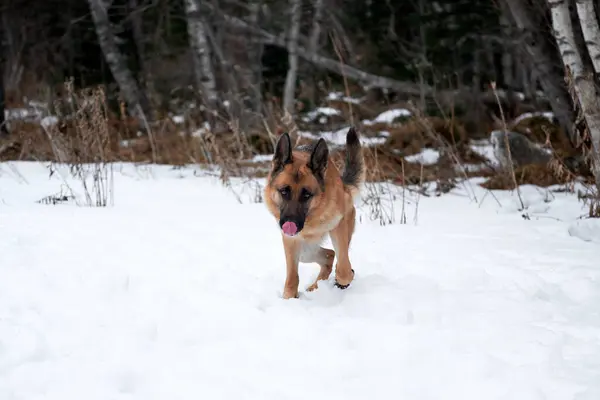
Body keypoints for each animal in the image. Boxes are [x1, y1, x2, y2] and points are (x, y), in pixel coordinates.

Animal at [266, 126, 366, 298]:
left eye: (306, 195)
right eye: (284, 191)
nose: (290, 224)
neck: (312, 218)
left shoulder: (338, 227)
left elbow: (344, 270)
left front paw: (342, 280)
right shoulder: (291, 241)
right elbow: (292, 278)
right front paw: (289, 298)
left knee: (335, 256)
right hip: (304, 250)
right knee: (329, 255)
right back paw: (314, 287)